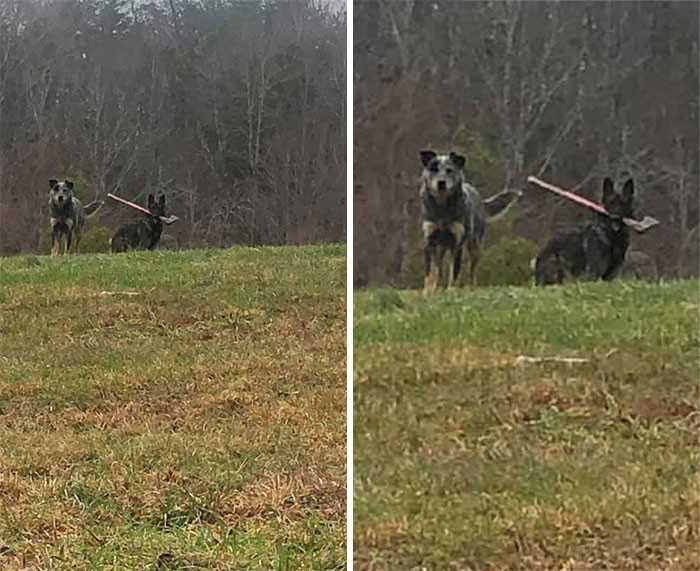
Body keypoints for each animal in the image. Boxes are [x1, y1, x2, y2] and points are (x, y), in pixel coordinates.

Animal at [418, 150, 524, 292]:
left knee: (472, 270)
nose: (441, 183)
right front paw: (428, 291)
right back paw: (438, 288)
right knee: (439, 268)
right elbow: (430, 272)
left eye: (449, 170)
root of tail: (480, 200)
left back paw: (471, 287)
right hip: (442, 247)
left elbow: (454, 272)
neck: (442, 207)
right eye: (433, 168)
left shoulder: (457, 243)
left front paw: (451, 291)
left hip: (474, 244)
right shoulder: (429, 240)